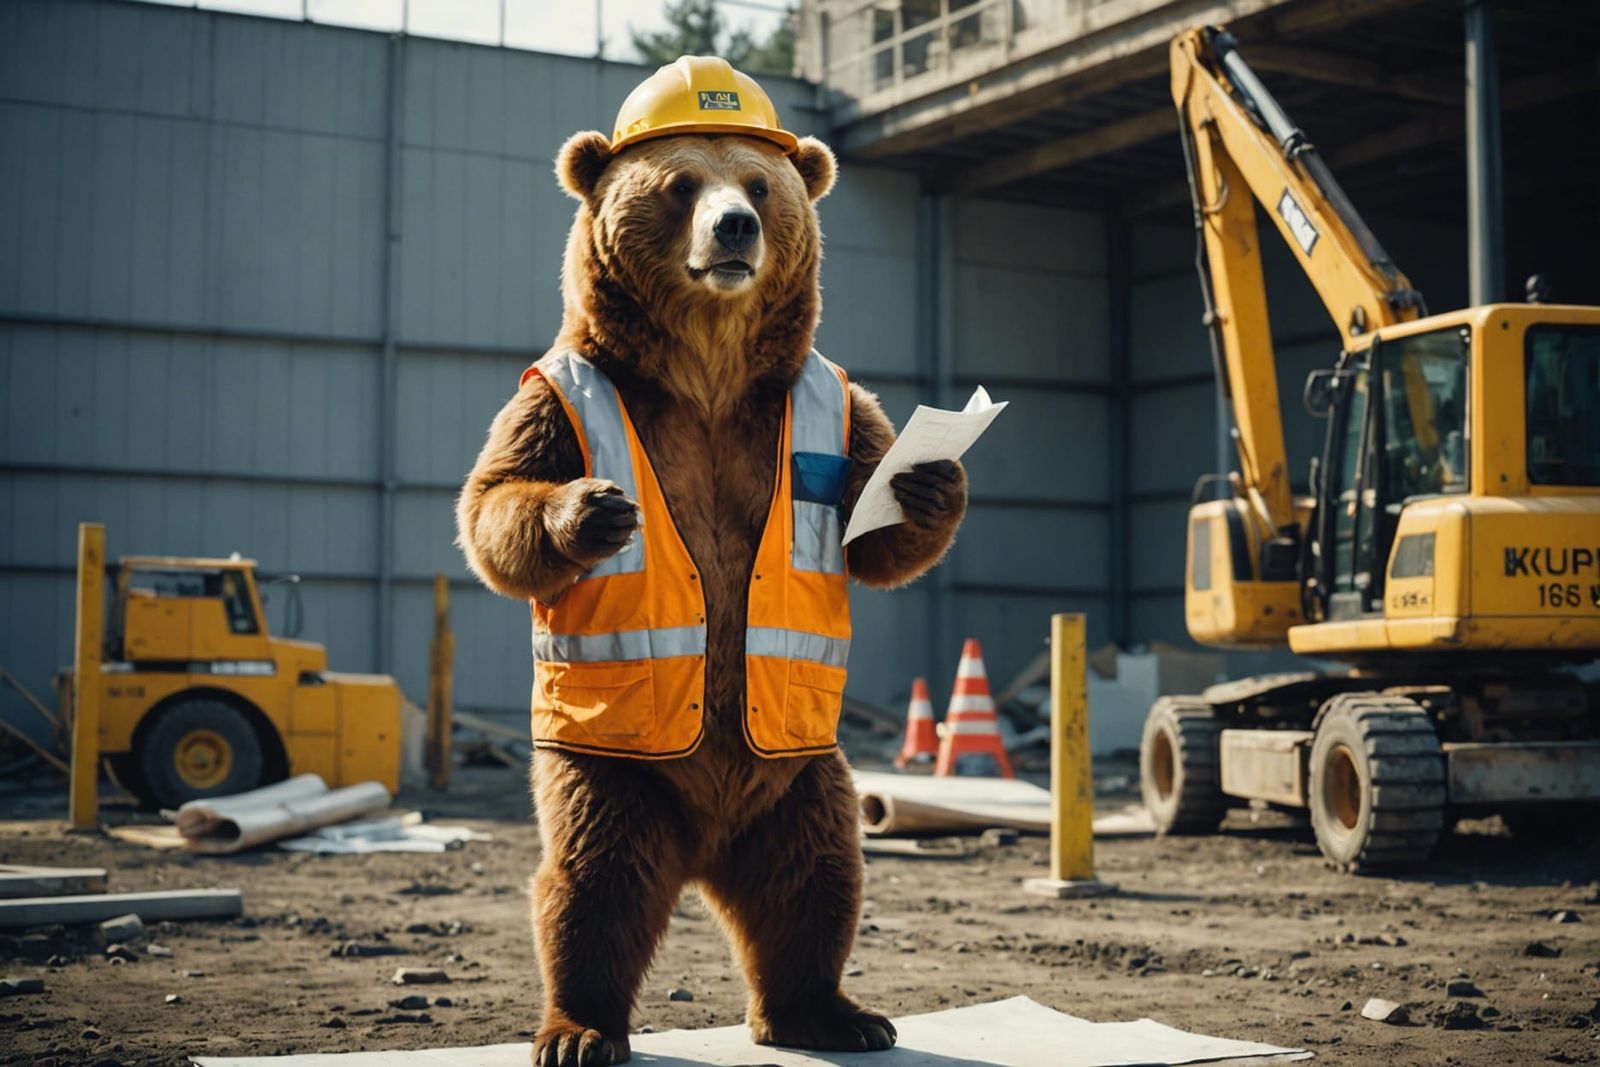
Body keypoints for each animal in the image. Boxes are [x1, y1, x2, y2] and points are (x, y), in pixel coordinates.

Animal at [456, 61, 967, 1067]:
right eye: (680, 182)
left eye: (761, 186)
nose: (734, 227)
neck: (706, 369)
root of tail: (703, 846)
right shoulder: (553, 400)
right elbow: (497, 501)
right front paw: (591, 508)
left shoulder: (819, 402)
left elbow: (870, 527)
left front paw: (928, 480)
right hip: (615, 768)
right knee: (591, 884)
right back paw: (579, 1028)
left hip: (801, 774)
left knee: (816, 881)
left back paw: (837, 1012)